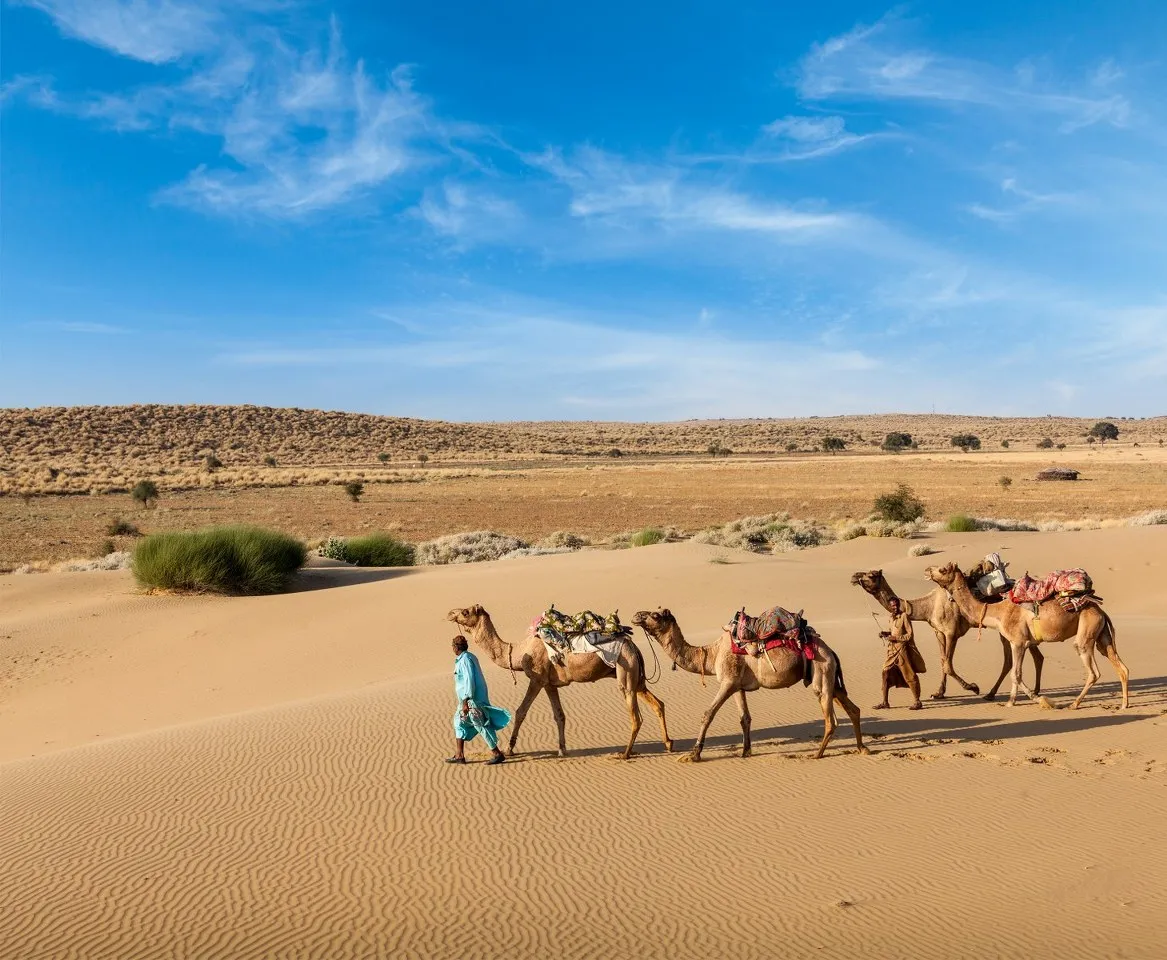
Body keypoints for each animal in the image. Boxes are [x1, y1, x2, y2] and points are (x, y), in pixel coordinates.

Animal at [447, 605, 673, 760]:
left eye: (465, 612)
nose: (450, 613)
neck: (519, 652)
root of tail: (633, 646)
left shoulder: (537, 679)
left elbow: (521, 712)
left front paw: (509, 749)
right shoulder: (549, 684)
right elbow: (559, 715)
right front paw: (562, 749)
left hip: (625, 670)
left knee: (636, 716)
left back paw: (625, 754)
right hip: (636, 677)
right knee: (658, 704)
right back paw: (668, 744)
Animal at [632, 609, 867, 761]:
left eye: (654, 615)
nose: (635, 616)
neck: (711, 654)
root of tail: (831, 651)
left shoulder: (727, 682)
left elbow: (708, 714)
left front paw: (693, 754)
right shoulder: (737, 685)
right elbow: (745, 718)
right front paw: (746, 752)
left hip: (822, 671)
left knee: (830, 719)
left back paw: (816, 754)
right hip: (831, 678)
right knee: (853, 709)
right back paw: (862, 748)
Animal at [851, 569, 1044, 700]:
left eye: (871, 575)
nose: (854, 576)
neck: (928, 606)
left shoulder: (952, 632)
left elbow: (948, 665)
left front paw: (972, 687)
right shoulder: (939, 632)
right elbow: (943, 661)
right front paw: (939, 693)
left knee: (1014, 659)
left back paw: (999, 693)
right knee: (1034, 656)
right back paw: (1026, 691)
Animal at [924, 564, 1129, 709]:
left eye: (942, 569)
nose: (927, 570)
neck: (997, 612)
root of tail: (1101, 611)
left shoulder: (1018, 641)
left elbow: (1016, 674)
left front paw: (1036, 700)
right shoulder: (1017, 642)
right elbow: (1015, 671)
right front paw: (1013, 701)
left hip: (1086, 633)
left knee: (1093, 671)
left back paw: (1074, 704)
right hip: (1102, 635)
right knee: (1120, 666)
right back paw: (1124, 704)